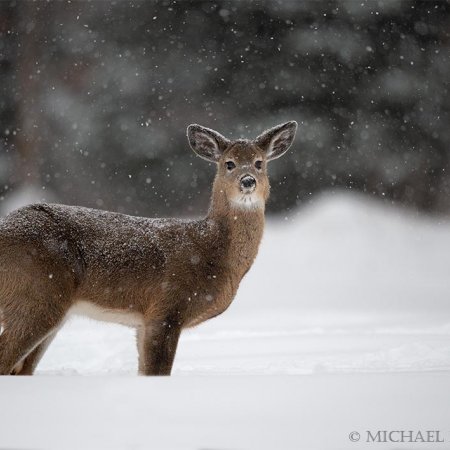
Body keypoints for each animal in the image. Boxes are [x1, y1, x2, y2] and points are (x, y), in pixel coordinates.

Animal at [0, 120, 298, 376]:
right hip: (36, 293)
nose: (248, 181)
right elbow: (158, 371)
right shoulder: (166, 308)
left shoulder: (143, 322)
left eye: (259, 163)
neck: (212, 252)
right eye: (229, 163)